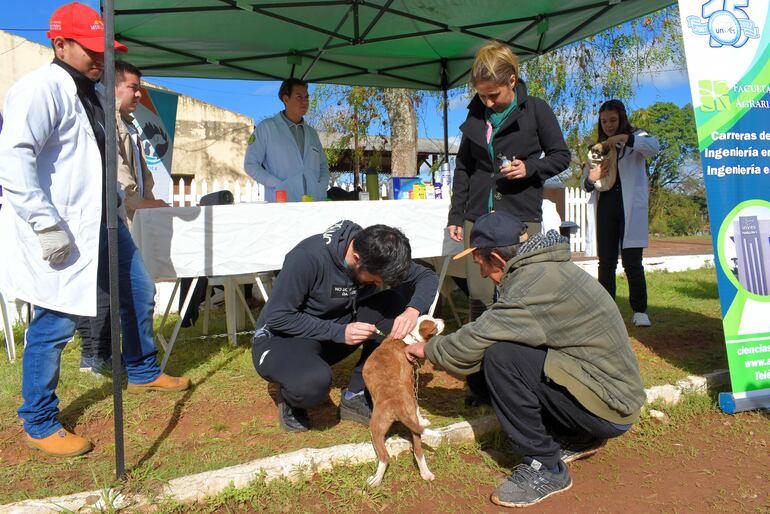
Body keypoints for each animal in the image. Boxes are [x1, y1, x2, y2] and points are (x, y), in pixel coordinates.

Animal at [362, 312, 444, 484]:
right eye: (434, 324)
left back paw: (376, 480)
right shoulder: (411, 385)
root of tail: (397, 405)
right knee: (418, 451)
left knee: (384, 457)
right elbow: (418, 406)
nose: (443, 320)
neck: (408, 338)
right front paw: (423, 420)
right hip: (413, 426)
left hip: (376, 429)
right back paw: (426, 474)